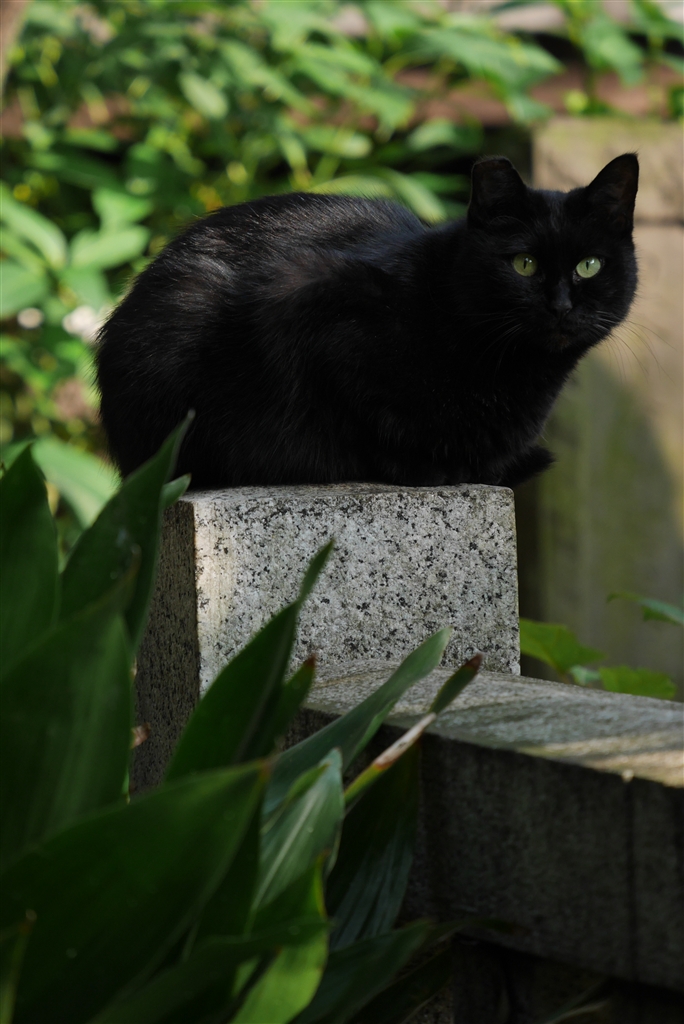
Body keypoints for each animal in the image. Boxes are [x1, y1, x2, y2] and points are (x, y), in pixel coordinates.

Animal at [96, 153, 638, 489]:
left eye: (590, 265)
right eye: (523, 264)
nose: (562, 306)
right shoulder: (306, 297)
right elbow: (364, 415)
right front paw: (425, 467)